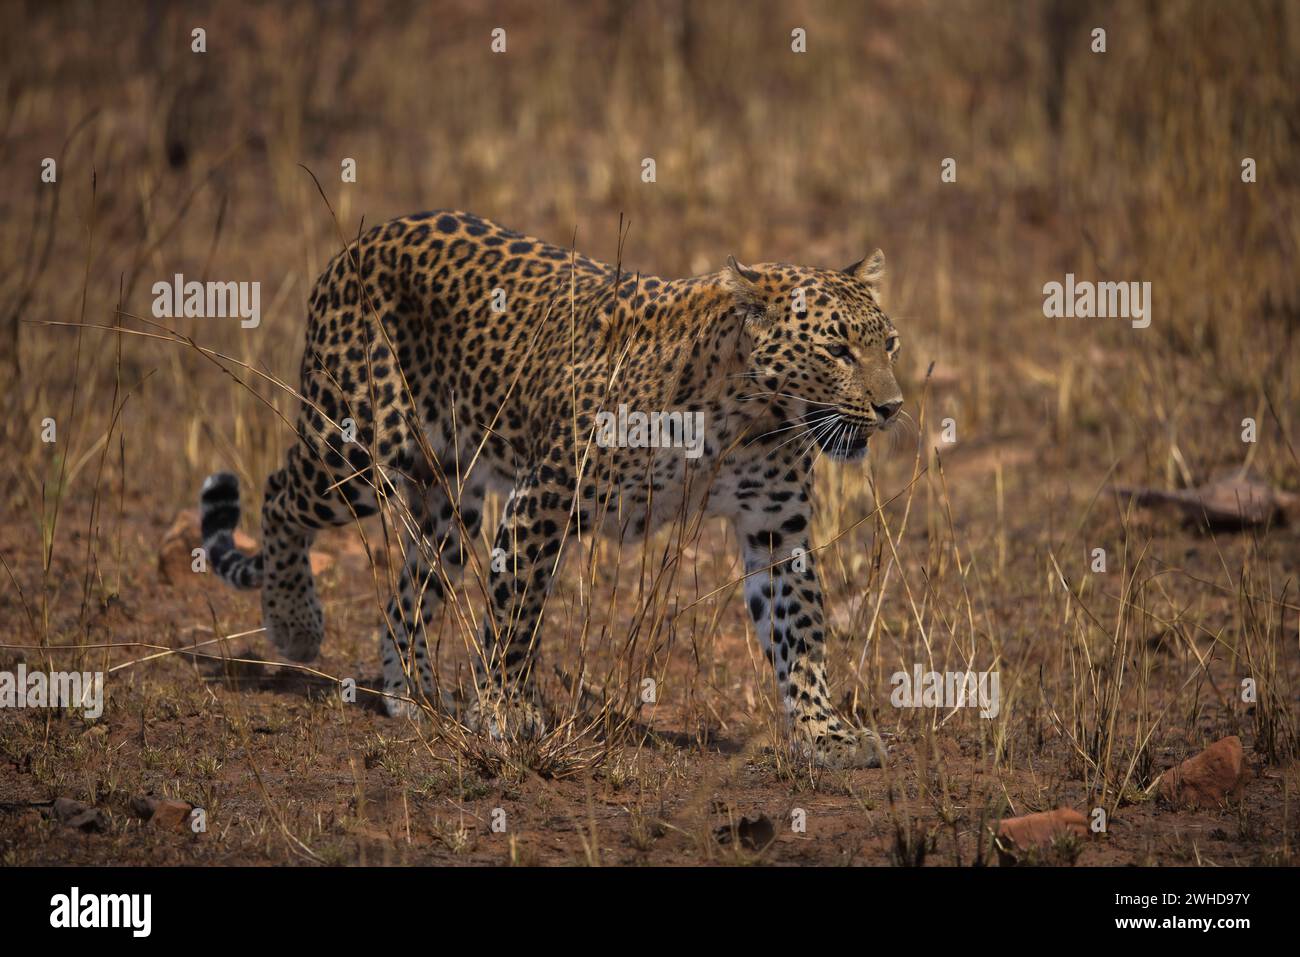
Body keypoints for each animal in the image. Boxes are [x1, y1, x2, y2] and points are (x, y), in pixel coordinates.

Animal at [200, 209, 904, 769]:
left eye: (890, 344)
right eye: (838, 350)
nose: (893, 407)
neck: (749, 417)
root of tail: (365, 238)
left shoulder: (776, 526)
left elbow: (799, 632)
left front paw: (825, 734)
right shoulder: (546, 494)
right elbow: (518, 611)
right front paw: (506, 712)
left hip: (450, 500)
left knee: (411, 592)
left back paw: (417, 694)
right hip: (357, 451)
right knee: (279, 494)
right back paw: (294, 621)